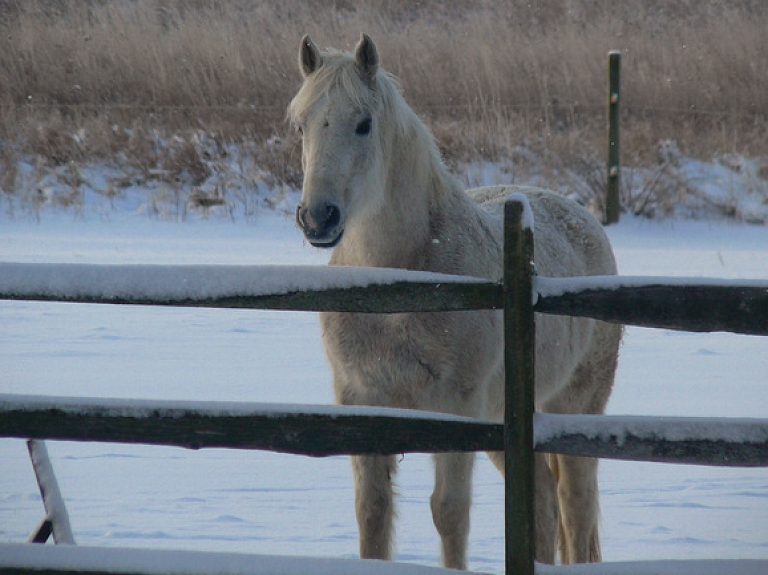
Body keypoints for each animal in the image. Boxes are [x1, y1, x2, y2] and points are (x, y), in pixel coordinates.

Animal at [290, 33, 624, 568]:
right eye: (301, 125)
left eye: (363, 123)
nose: (318, 217)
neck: (397, 289)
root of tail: (582, 215)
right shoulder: (361, 400)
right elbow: (373, 512)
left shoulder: (456, 410)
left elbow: (448, 512)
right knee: (542, 498)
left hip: (578, 403)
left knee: (575, 505)